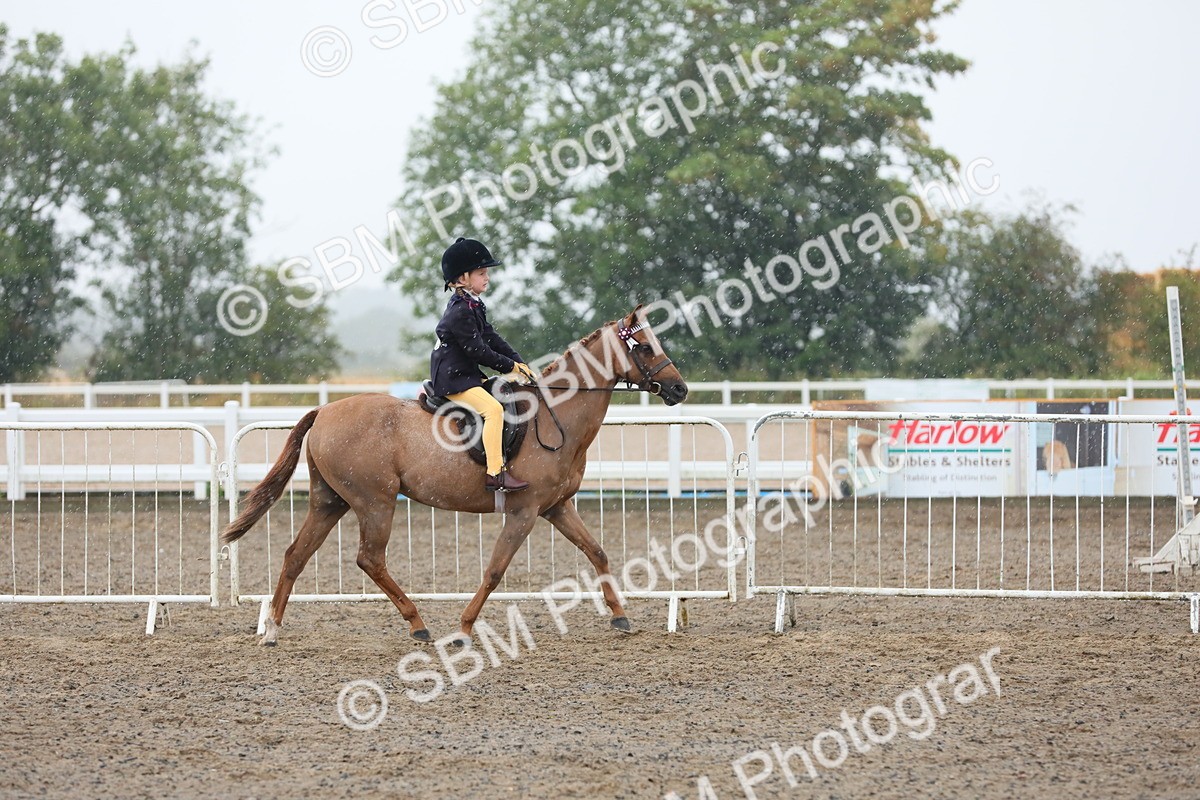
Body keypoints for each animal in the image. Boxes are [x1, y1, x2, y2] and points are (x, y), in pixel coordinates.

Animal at [220, 304, 688, 646]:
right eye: (644, 346)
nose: (680, 389)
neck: (556, 416)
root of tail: (324, 411)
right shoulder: (523, 512)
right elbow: (495, 571)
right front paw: (463, 629)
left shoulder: (556, 507)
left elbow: (598, 553)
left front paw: (621, 617)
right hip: (375, 502)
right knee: (369, 558)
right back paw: (418, 623)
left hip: (329, 501)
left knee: (296, 555)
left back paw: (273, 630)